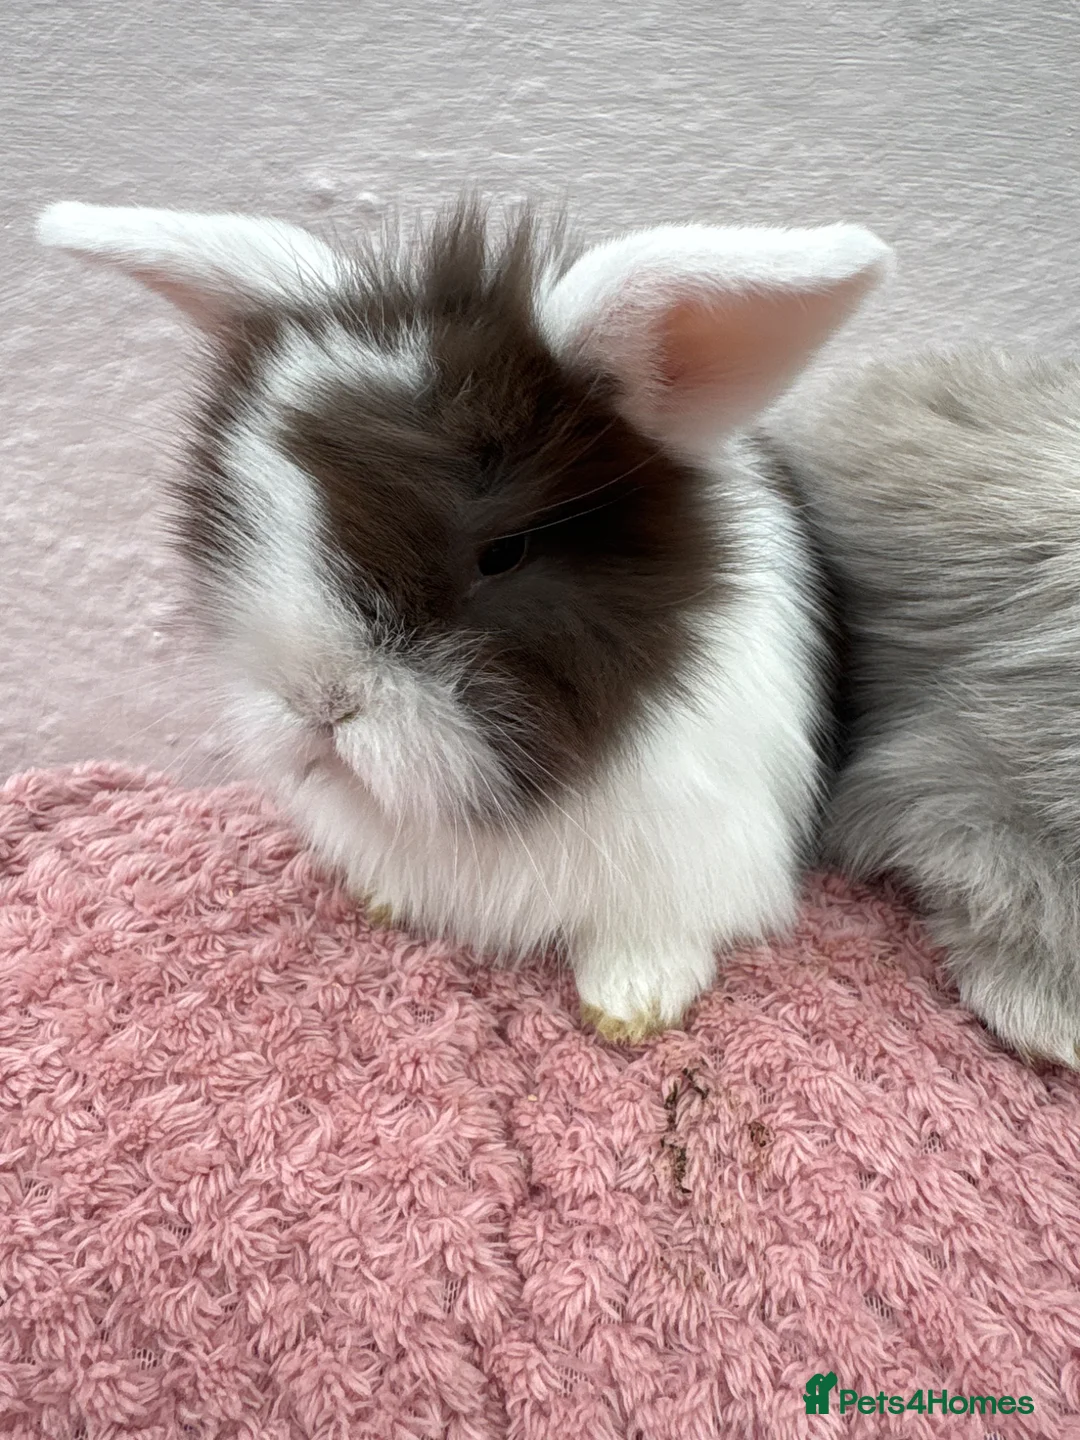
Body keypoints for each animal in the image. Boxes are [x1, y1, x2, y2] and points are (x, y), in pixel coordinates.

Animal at [37, 197, 891, 1041]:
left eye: (502, 553)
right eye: (243, 517)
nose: (320, 705)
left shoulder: (694, 847)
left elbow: (649, 937)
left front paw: (630, 1006)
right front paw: (384, 899)